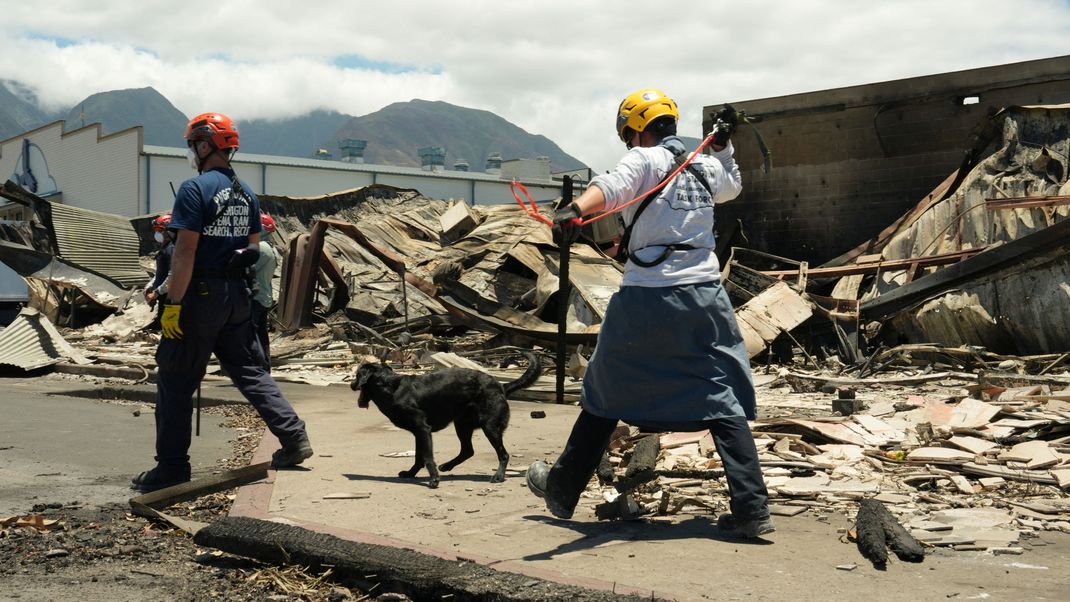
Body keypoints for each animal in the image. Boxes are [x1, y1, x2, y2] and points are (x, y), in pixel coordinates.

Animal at [350, 350, 539, 487]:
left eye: (357, 374)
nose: (351, 384)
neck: (390, 387)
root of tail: (501, 387)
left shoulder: (423, 429)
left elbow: (427, 458)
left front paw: (434, 479)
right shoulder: (419, 433)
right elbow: (419, 457)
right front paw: (411, 473)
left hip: (490, 426)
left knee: (503, 454)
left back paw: (498, 476)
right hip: (462, 424)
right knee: (467, 450)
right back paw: (448, 466)